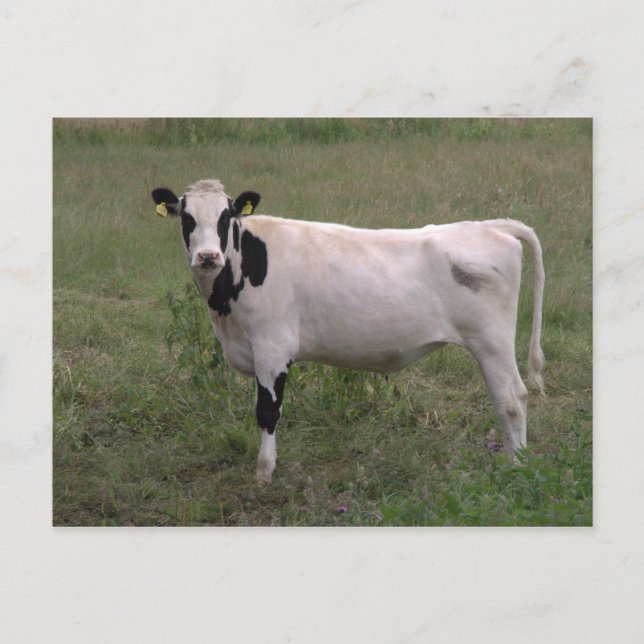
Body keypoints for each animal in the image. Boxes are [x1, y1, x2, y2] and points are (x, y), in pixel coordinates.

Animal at [151, 179, 545, 485]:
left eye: (226, 216)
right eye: (187, 217)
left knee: (511, 400)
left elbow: (267, 411)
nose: (207, 257)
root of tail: (490, 225)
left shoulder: (272, 349)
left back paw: (517, 468)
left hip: (491, 340)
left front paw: (264, 473)